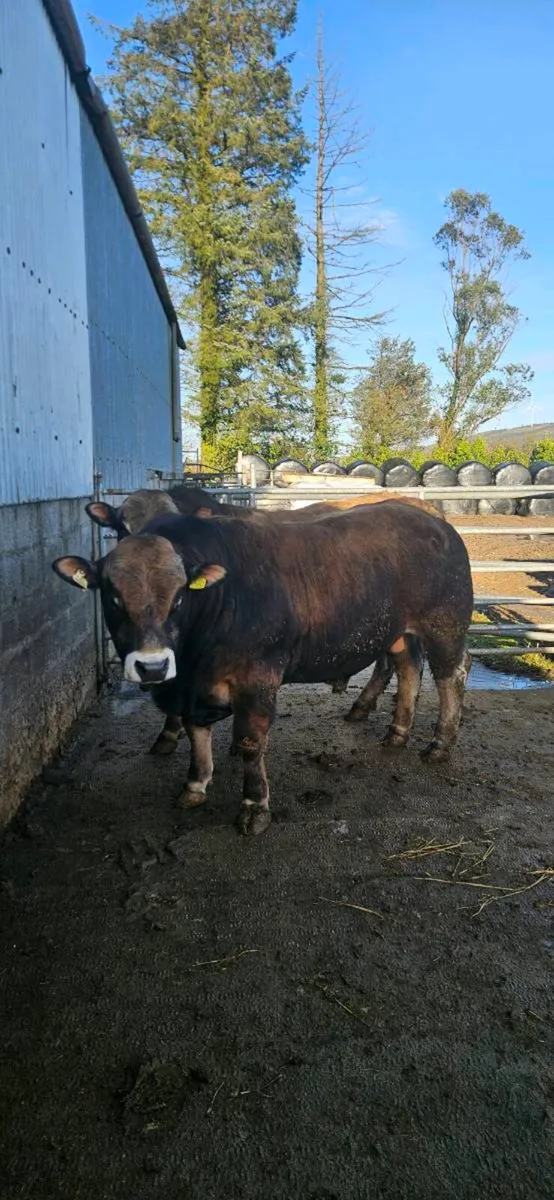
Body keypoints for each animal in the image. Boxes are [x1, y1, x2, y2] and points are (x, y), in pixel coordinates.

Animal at [53, 502, 473, 836]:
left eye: (179, 597)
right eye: (114, 597)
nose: (152, 665)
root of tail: (436, 521)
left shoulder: (256, 679)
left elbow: (250, 742)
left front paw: (255, 807)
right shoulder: (193, 691)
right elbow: (195, 732)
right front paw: (195, 785)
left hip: (446, 625)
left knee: (451, 675)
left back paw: (439, 744)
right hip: (397, 632)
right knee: (408, 668)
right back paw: (397, 733)